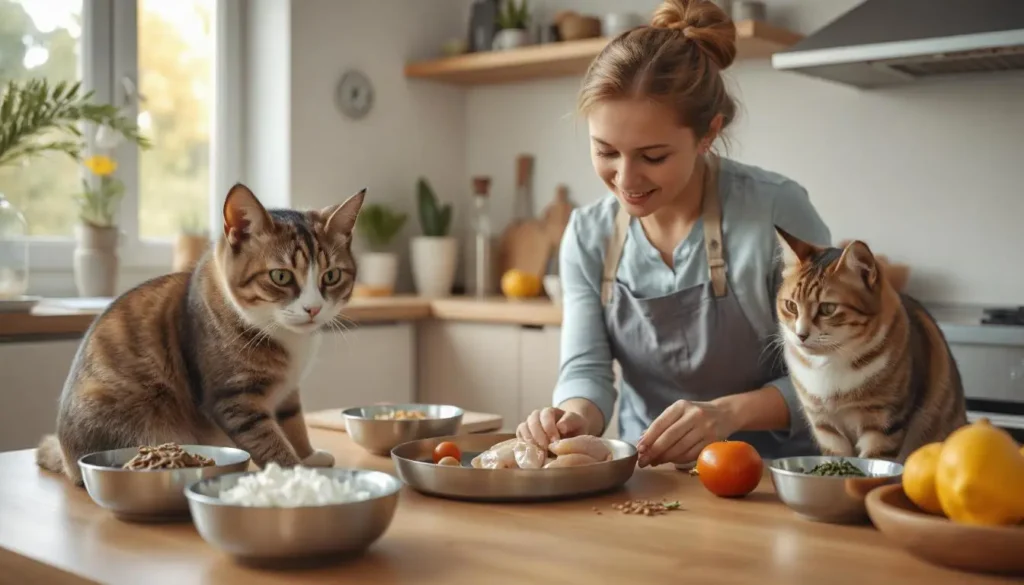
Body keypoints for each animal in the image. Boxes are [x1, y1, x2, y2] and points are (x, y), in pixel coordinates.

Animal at [36, 184, 364, 485]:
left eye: (331, 276)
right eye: (280, 276)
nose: (313, 308)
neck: (283, 335)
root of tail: (65, 458)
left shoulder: (288, 390)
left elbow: (294, 422)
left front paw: (308, 456)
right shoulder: (235, 401)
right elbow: (268, 439)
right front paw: (297, 473)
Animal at [774, 228, 966, 463]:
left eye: (828, 308)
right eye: (791, 306)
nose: (800, 335)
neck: (830, 365)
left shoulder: (883, 425)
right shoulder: (826, 427)